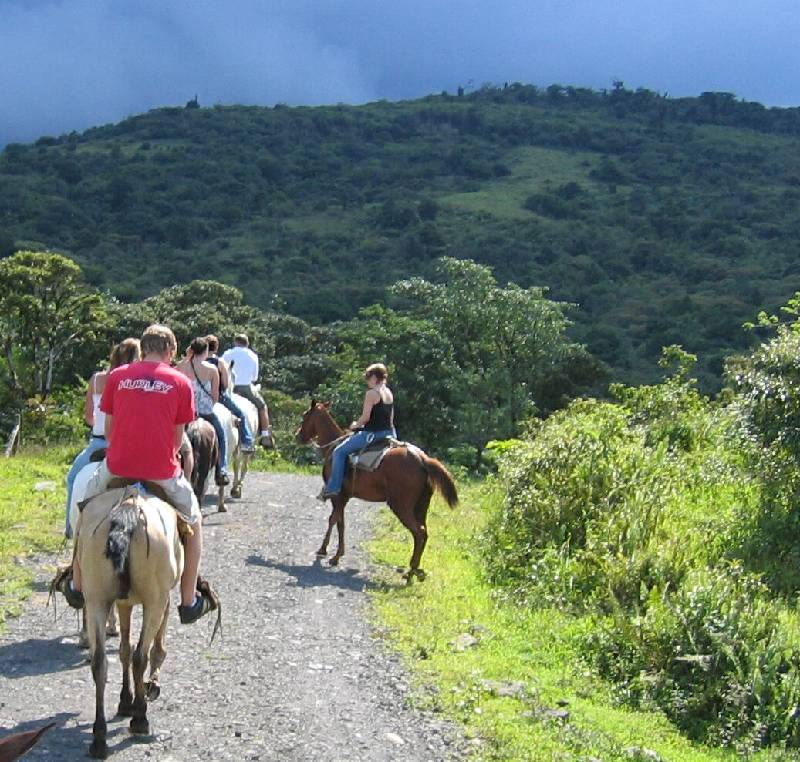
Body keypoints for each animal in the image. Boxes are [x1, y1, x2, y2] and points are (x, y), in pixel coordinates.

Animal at [74, 486, 183, 756]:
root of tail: (128, 513)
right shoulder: (162, 599)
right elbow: (151, 648)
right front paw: (147, 689)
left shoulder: (122, 603)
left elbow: (124, 648)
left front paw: (125, 700)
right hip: (154, 600)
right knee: (140, 656)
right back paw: (140, 719)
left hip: (96, 599)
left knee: (100, 663)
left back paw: (99, 737)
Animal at [294, 398, 460, 576]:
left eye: (304, 415)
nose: (297, 435)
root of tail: (422, 459)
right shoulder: (344, 497)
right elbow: (340, 522)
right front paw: (337, 555)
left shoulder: (337, 495)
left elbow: (333, 520)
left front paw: (324, 551)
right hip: (421, 507)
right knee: (424, 532)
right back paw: (415, 570)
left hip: (401, 506)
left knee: (419, 532)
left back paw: (411, 571)